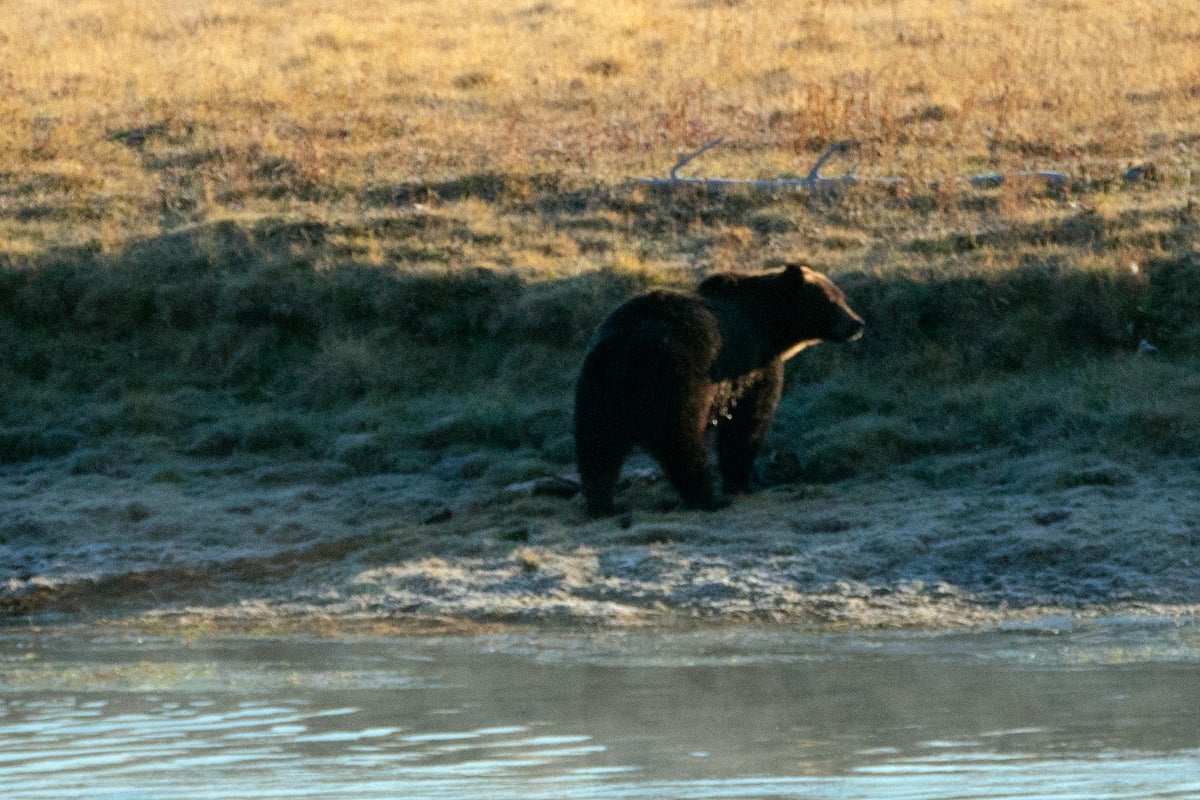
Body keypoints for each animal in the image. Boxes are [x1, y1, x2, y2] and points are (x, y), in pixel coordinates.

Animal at [573, 266, 864, 520]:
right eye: (832, 300)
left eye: (841, 296)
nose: (858, 324)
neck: (771, 325)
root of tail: (626, 350)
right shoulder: (754, 363)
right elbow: (748, 424)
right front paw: (741, 482)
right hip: (676, 383)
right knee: (683, 442)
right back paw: (708, 497)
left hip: (598, 390)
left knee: (597, 448)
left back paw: (603, 504)